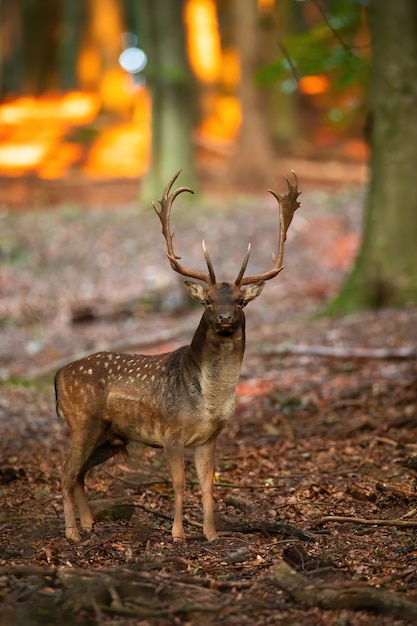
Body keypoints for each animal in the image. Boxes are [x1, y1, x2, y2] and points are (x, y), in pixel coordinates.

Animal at [55, 169, 300, 540]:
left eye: (240, 302)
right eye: (208, 301)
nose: (225, 318)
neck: (207, 400)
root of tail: (57, 375)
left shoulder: (210, 437)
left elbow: (208, 486)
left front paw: (211, 534)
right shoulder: (170, 434)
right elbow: (180, 484)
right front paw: (178, 533)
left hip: (110, 437)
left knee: (79, 473)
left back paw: (88, 524)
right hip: (83, 421)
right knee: (66, 472)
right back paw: (72, 532)